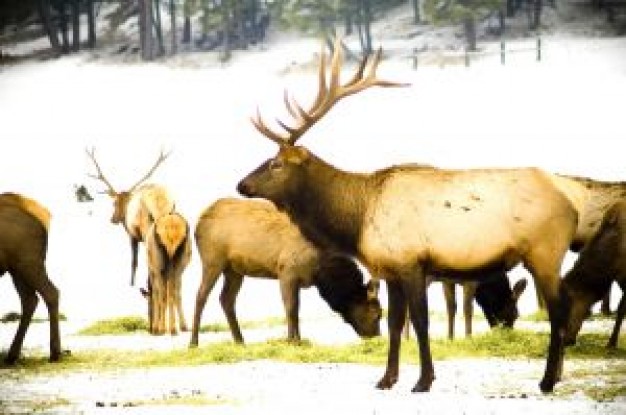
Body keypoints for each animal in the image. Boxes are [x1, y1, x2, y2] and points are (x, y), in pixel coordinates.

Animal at [0, 193, 61, 362]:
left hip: (28, 263)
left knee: (51, 293)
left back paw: (55, 352)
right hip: (16, 270)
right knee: (30, 300)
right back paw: (12, 355)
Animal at [85, 148, 173, 288]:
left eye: (114, 203)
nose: (113, 219)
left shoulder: (133, 235)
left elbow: (134, 262)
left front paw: (131, 284)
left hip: (146, 229)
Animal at [236, 37, 576, 394]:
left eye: (276, 164)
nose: (241, 184)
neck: (357, 221)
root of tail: (570, 204)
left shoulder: (412, 263)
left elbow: (421, 322)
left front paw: (424, 380)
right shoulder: (390, 270)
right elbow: (396, 323)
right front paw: (387, 378)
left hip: (544, 251)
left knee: (558, 308)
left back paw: (547, 380)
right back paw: (554, 375)